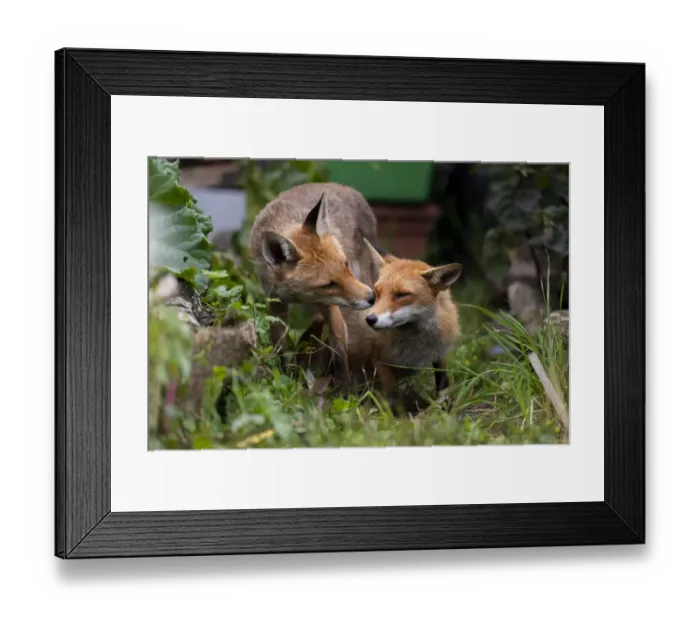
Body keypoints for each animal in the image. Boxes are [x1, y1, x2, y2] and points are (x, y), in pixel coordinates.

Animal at [248, 182, 380, 383]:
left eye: (345, 265)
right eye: (329, 284)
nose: (372, 297)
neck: (301, 297)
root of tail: (348, 188)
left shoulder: (330, 306)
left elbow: (340, 350)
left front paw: (343, 386)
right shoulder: (276, 301)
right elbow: (279, 343)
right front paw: (283, 372)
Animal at [339, 241, 463, 409]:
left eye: (401, 295)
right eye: (377, 293)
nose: (370, 319)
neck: (417, 345)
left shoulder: (440, 352)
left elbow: (443, 383)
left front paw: (443, 407)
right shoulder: (380, 360)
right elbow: (392, 395)